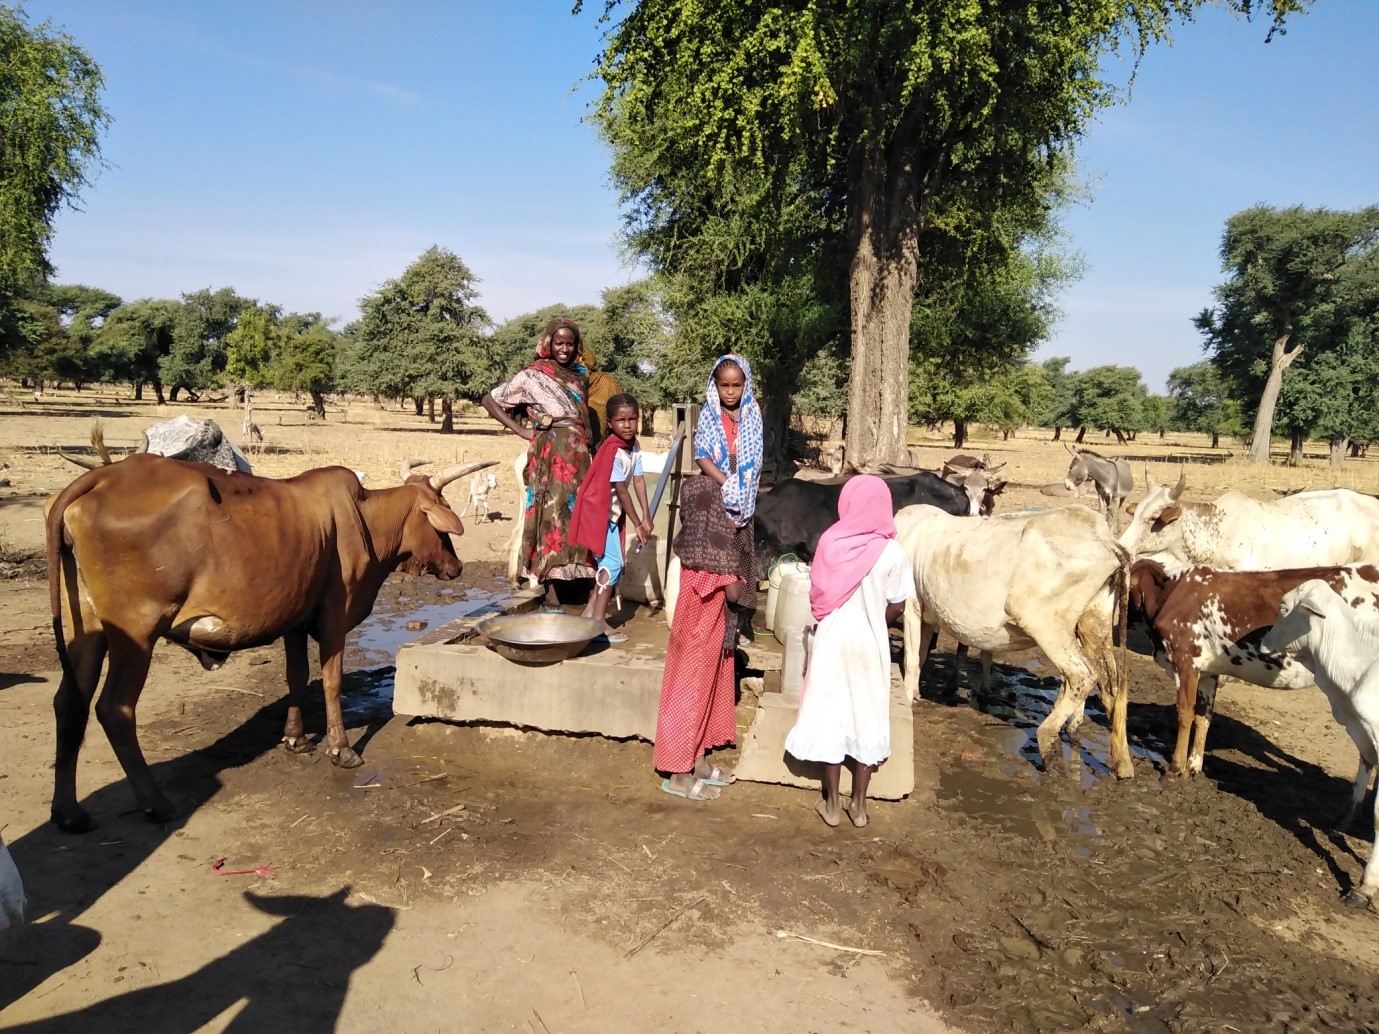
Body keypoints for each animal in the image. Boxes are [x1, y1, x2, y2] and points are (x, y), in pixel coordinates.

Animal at [44, 452, 496, 832]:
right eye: (438, 520)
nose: (456, 566)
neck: (365, 519)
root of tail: (100, 477)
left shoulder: (294, 619)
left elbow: (296, 677)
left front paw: (296, 739)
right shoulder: (334, 617)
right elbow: (331, 681)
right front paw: (340, 749)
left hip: (86, 630)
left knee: (69, 703)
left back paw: (68, 812)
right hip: (136, 632)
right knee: (114, 709)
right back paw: (156, 803)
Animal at [893, 507, 1130, 783]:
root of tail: (1108, 540)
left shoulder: (911, 605)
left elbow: (911, 659)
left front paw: (907, 698)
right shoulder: (927, 615)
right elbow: (920, 655)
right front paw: (916, 693)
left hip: (1043, 622)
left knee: (1082, 674)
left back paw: (1048, 740)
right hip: (1093, 622)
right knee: (1107, 685)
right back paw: (1116, 759)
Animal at [1125, 559, 1379, 777]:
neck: (1171, 593)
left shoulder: (1186, 663)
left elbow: (1185, 713)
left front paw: (1176, 768)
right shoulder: (1208, 671)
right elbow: (1203, 716)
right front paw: (1193, 766)